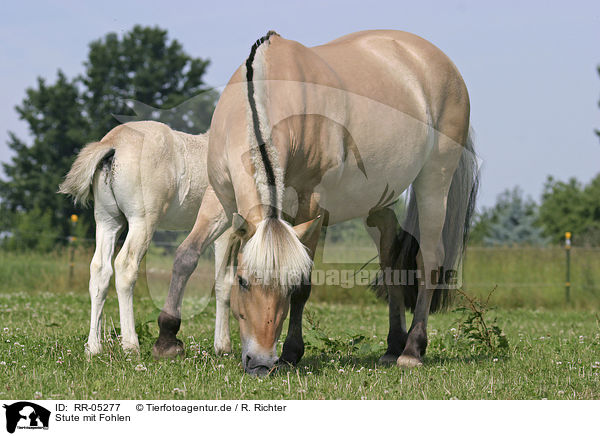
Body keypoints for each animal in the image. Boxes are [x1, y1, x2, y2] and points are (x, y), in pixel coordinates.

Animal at [59, 120, 232, 358]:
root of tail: (113, 143)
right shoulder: (225, 230)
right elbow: (224, 283)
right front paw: (223, 347)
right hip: (142, 222)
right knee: (125, 266)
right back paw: (131, 345)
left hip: (107, 221)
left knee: (99, 270)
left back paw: (94, 347)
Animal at [154, 29, 478, 374]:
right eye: (242, 281)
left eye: (287, 285)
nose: (260, 363)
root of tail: (438, 61)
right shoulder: (221, 199)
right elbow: (186, 255)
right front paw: (167, 339)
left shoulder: (310, 206)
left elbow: (305, 285)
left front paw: (291, 353)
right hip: (377, 205)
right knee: (391, 260)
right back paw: (393, 346)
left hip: (434, 183)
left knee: (429, 259)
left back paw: (412, 349)